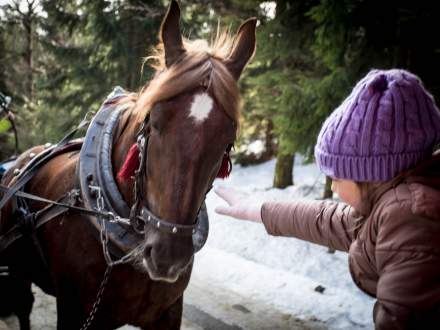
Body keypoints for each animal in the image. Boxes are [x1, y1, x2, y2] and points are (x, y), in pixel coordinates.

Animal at [0, 1, 256, 328]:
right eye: (153, 122)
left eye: (228, 140)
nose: (168, 256)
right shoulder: (75, 312)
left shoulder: (168, 313)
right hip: (17, 273)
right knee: (22, 307)